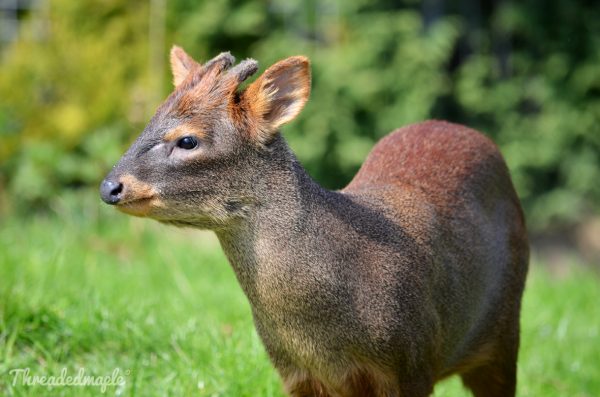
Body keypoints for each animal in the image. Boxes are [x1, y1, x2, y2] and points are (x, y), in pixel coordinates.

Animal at [99, 47, 528, 396]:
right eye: (149, 121)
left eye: (187, 140)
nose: (109, 186)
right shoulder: (297, 375)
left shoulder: (412, 363)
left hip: (505, 332)